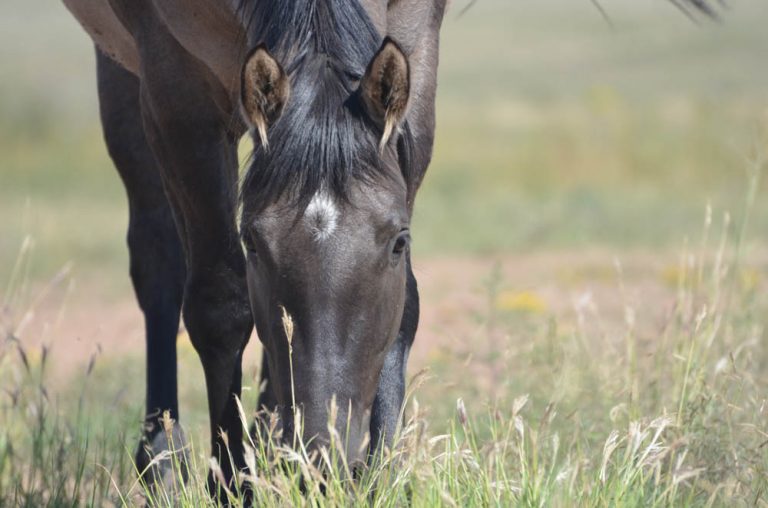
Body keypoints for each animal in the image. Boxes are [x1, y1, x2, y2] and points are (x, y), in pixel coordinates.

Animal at [63, 0, 448, 492]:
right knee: (158, 260)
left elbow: (406, 306)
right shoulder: (175, 88)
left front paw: (382, 475)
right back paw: (163, 461)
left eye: (400, 242)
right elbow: (219, 308)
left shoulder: (416, 38)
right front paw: (229, 481)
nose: (323, 457)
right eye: (251, 242)